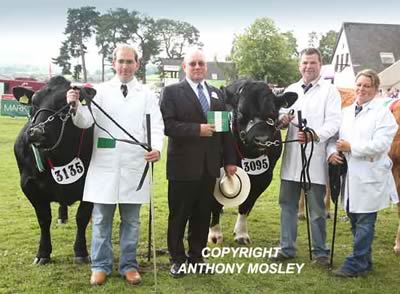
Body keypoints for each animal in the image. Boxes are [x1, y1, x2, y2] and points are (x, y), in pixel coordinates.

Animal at [13, 76, 96, 264]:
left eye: (64, 104)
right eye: (33, 103)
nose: (36, 132)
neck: (59, 154)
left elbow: (82, 217)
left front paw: (81, 252)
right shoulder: (29, 185)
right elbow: (44, 219)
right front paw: (43, 253)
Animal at [209, 79, 296, 245]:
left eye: (272, 113)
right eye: (241, 112)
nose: (261, 139)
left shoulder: (264, 178)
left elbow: (247, 204)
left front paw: (241, 234)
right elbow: (215, 204)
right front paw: (215, 234)